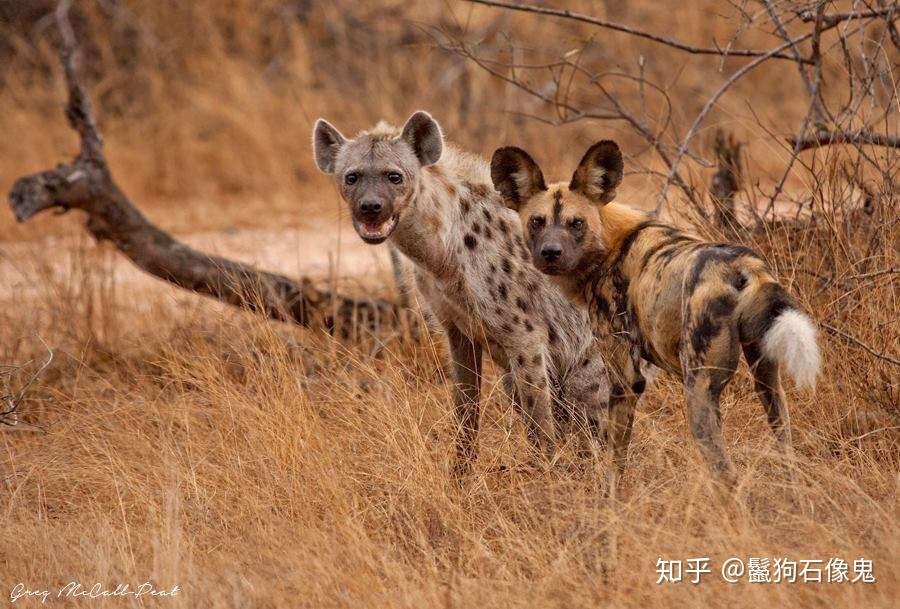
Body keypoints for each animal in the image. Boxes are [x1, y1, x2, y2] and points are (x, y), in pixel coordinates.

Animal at [312, 110, 616, 470]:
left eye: (394, 176)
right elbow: (465, 411)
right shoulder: (457, 329)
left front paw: (546, 478)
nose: (371, 207)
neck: (444, 256)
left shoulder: (525, 336)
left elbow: (539, 423)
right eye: (352, 177)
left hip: (590, 366)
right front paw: (460, 475)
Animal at [492, 141, 824, 484]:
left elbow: (614, 461)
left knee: (727, 473)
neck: (610, 245)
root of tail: (743, 267)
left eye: (576, 223)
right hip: (768, 383)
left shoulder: (625, 380)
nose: (551, 253)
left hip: (698, 393)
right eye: (537, 221)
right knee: (786, 449)